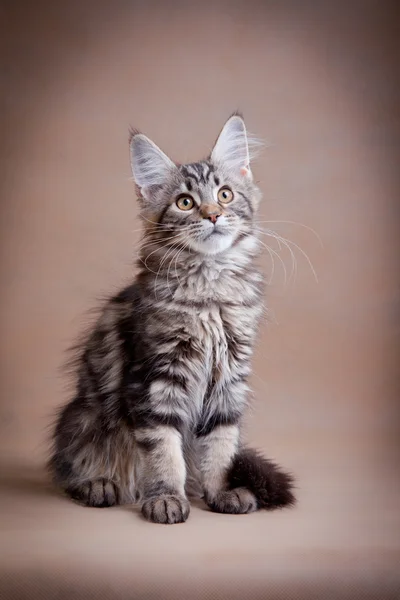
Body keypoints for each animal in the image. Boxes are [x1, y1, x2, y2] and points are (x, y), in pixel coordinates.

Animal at [49, 113, 294, 524]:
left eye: (224, 195)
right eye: (185, 202)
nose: (213, 215)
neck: (210, 289)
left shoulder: (230, 377)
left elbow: (221, 446)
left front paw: (221, 492)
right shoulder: (156, 377)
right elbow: (164, 449)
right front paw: (165, 498)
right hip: (84, 417)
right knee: (73, 465)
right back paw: (99, 484)